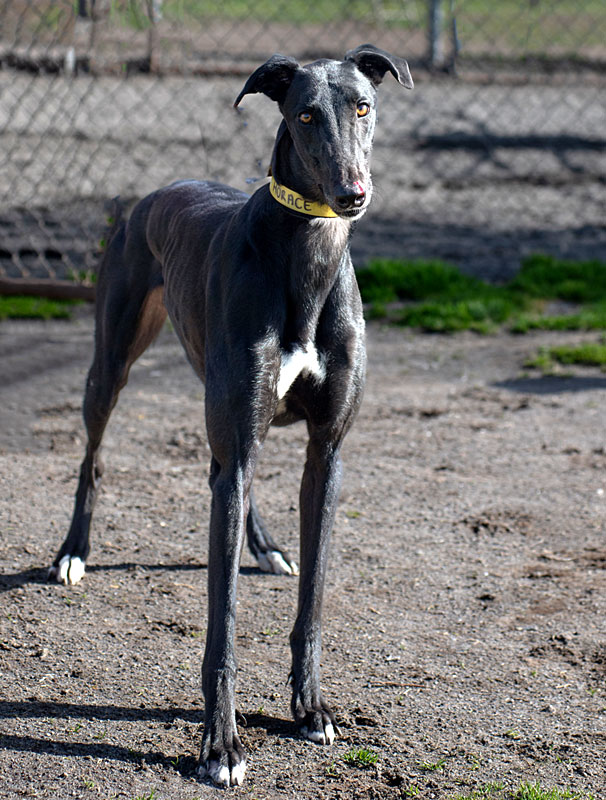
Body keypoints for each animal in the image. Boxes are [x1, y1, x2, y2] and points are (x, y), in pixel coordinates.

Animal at [51, 45, 414, 788]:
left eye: (364, 106)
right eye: (305, 115)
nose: (352, 194)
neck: (306, 257)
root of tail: (156, 191)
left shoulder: (326, 453)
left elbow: (313, 602)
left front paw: (310, 708)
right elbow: (222, 626)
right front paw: (219, 747)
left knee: (229, 475)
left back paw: (266, 546)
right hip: (112, 361)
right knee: (95, 457)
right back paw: (73, 552)